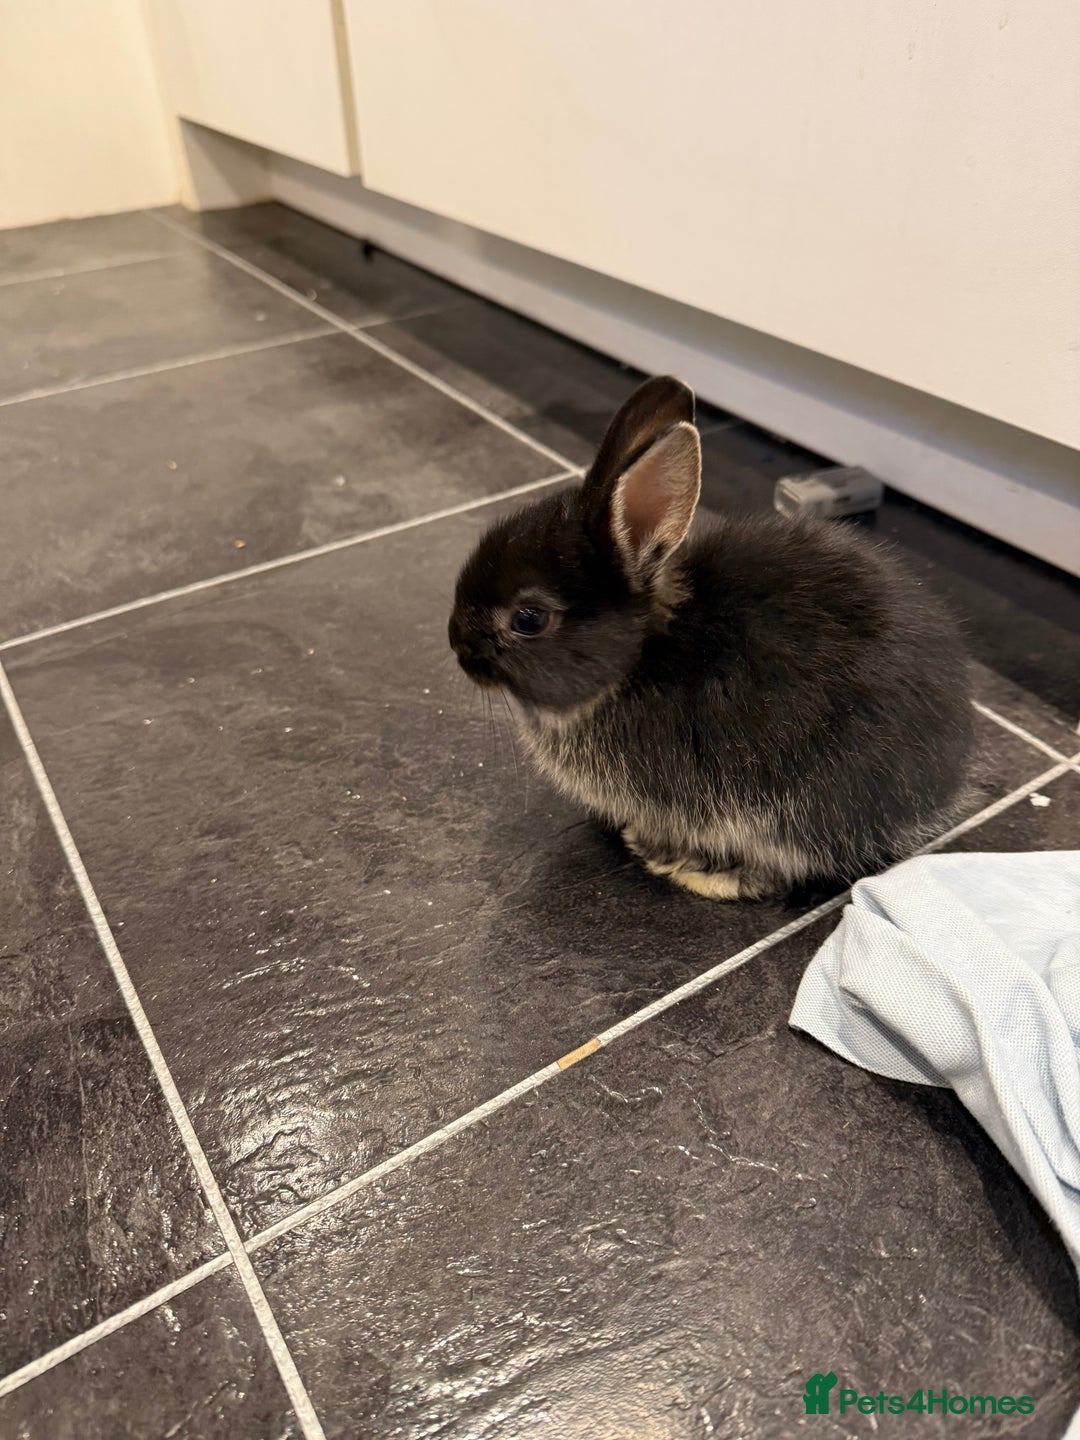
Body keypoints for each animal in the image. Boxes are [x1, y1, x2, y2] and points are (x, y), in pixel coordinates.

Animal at [448, 375, 974, 900]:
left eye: (529, 619)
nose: (457, 647)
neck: (638, 659)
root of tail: (946, 782)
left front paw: (657, 849)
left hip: (809, 800)